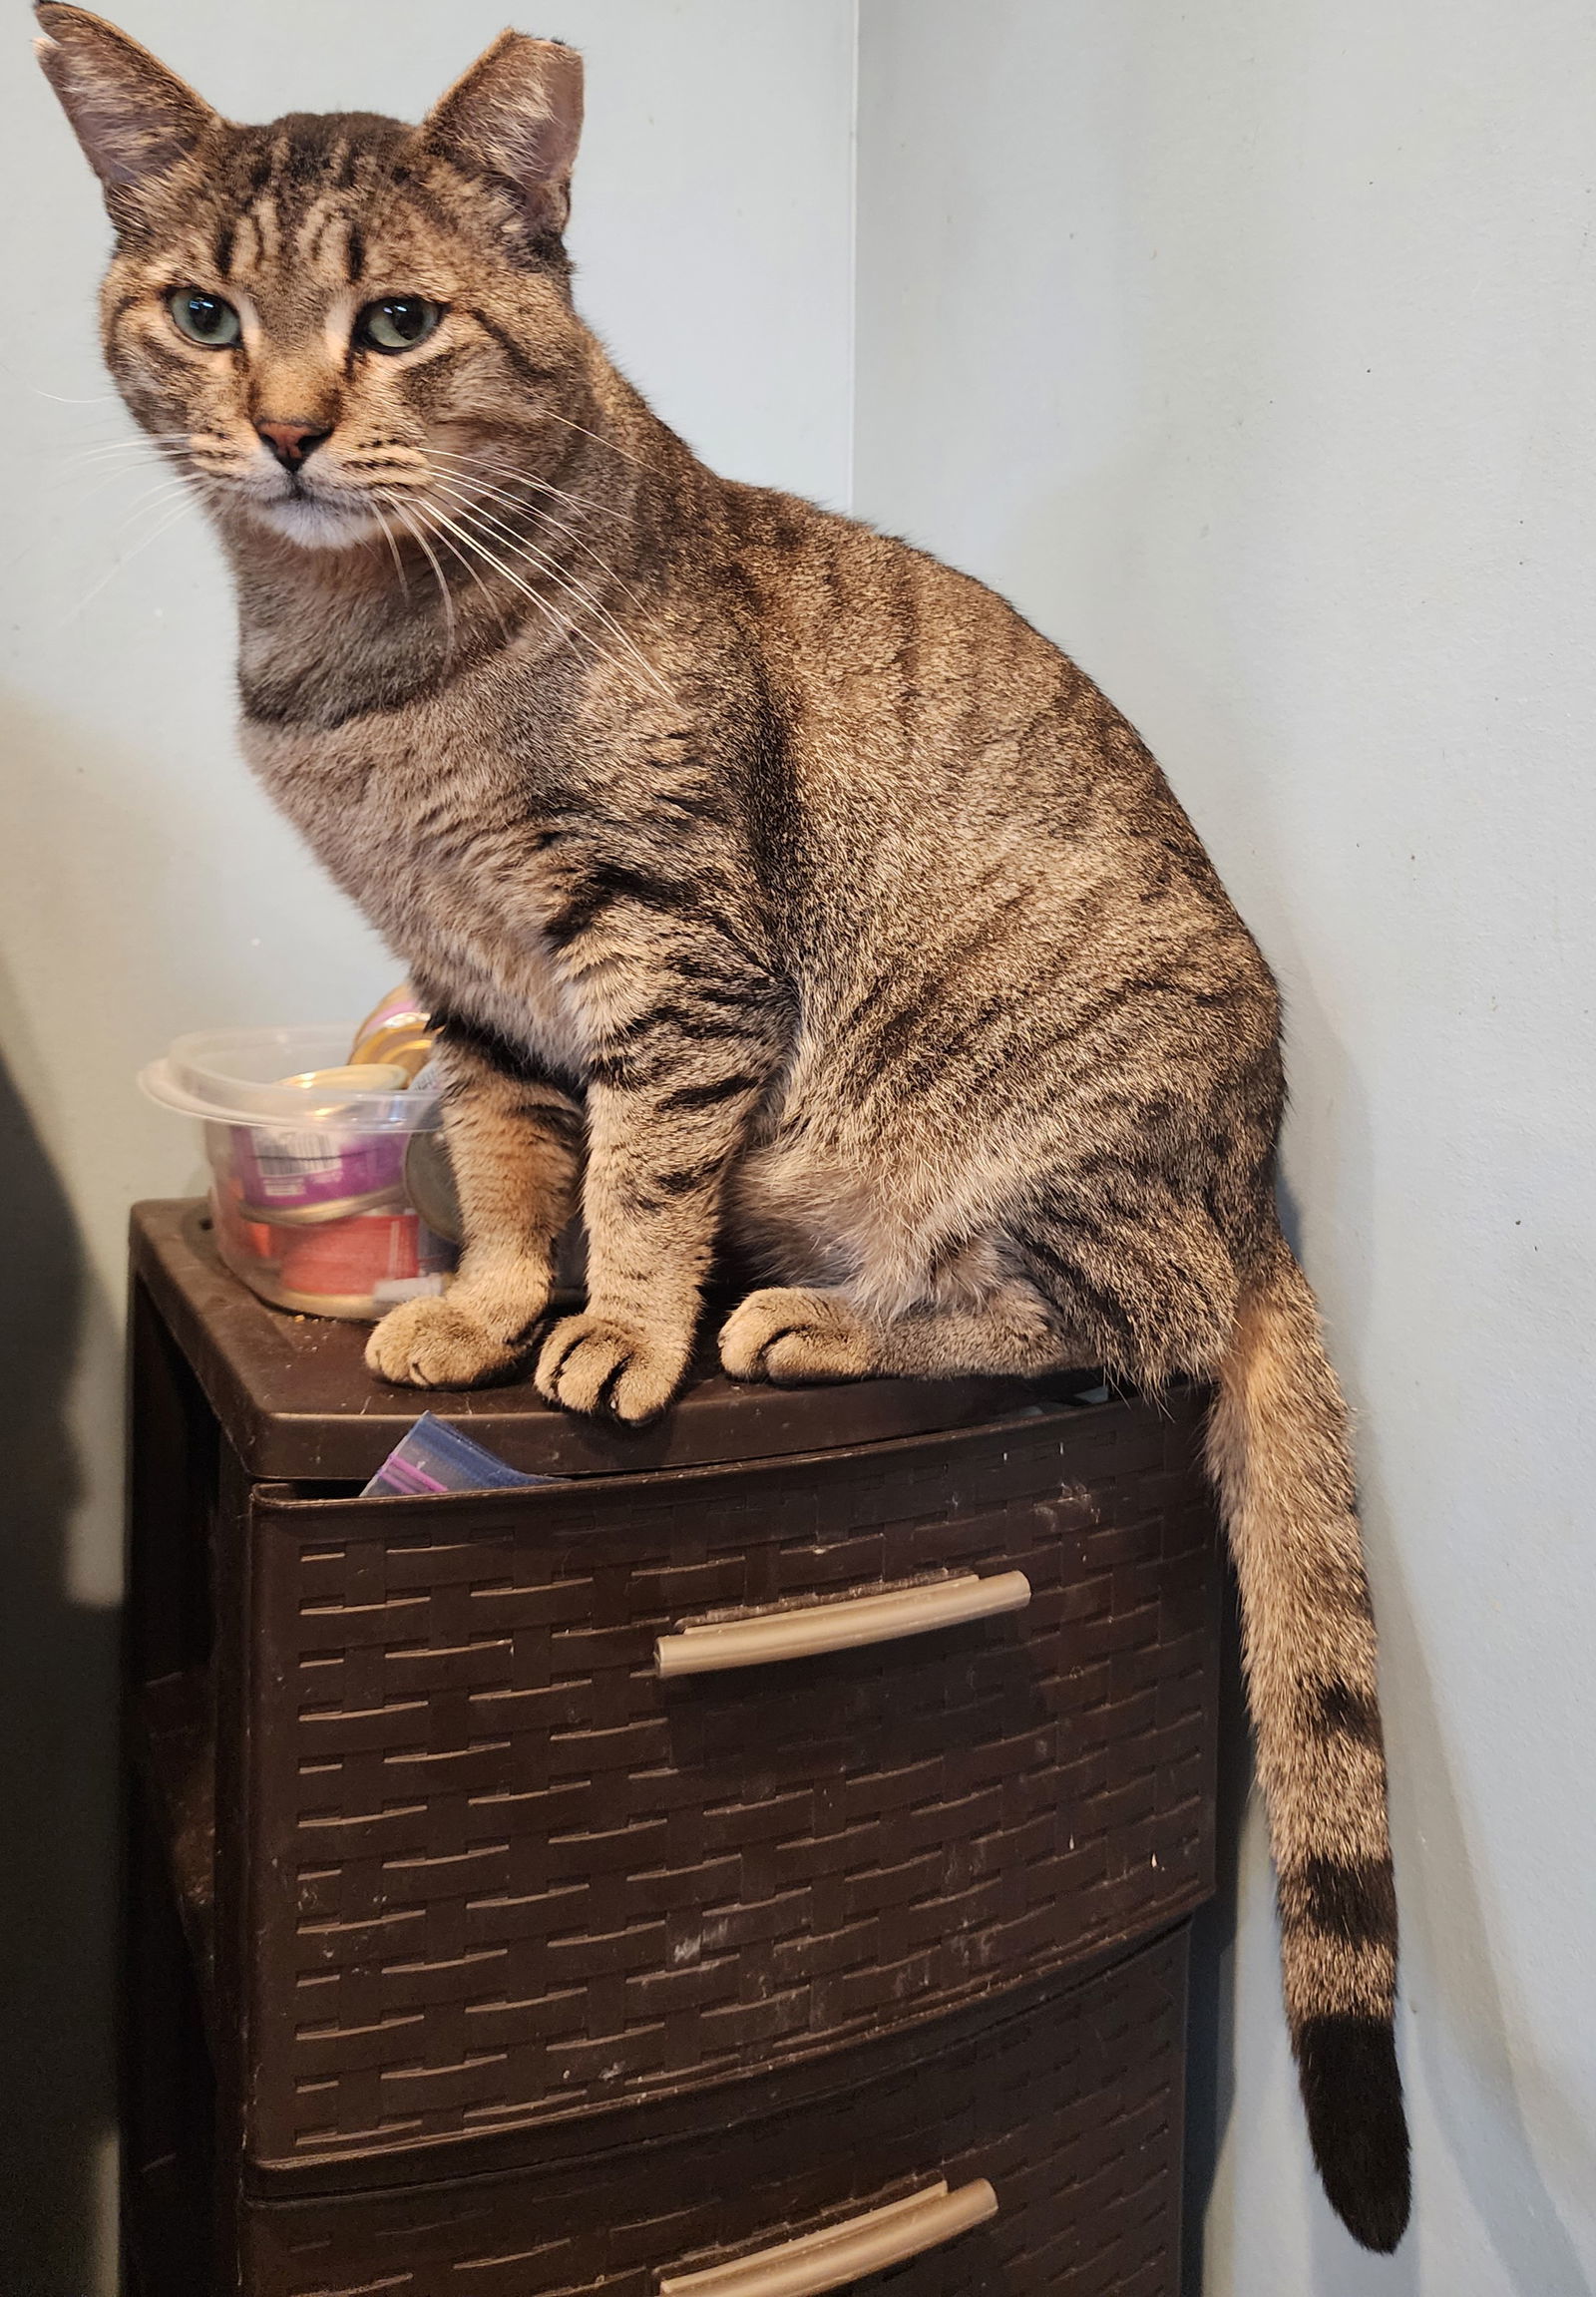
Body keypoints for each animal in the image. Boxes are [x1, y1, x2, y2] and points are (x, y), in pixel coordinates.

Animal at [37, 8, 1414, 2250]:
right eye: (206, 315)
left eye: (399, 322)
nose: (293, 428)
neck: (363, 667)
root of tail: (1250, 1180)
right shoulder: (477, 981)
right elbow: (520, 1159)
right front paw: (485, 1299)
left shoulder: (665, 938)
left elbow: (643, 1166)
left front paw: (620, 1321)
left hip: (1053, 1133)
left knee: (1111, 1325)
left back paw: (814, 1319)